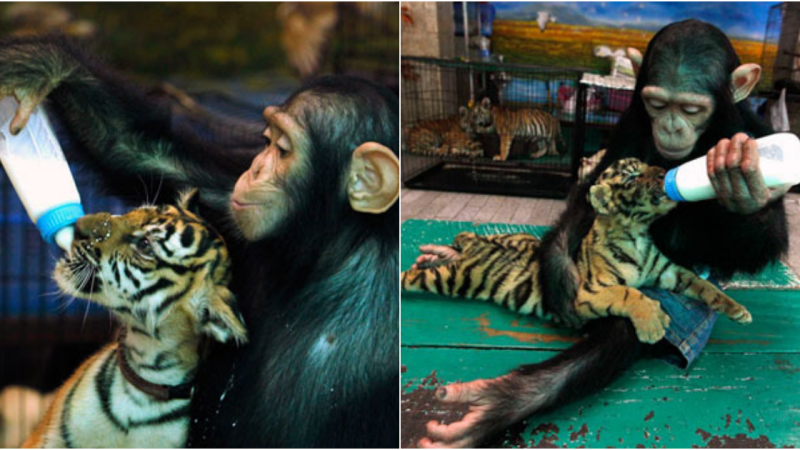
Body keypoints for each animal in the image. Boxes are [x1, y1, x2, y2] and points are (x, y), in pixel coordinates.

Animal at [0, 34, 400, 446]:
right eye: (267, 140)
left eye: (284, 150)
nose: (256, 169)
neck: (328, 253)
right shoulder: (226, 195)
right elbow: (146, 151)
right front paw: (35, 65)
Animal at [416, 20, 792, 446]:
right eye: (657, 104)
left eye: (691, 109)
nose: (671, 126)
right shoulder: (629, 126)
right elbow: (593, 207)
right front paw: (567, 278)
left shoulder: (742, 134)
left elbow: (719, 263)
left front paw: (748, 187)